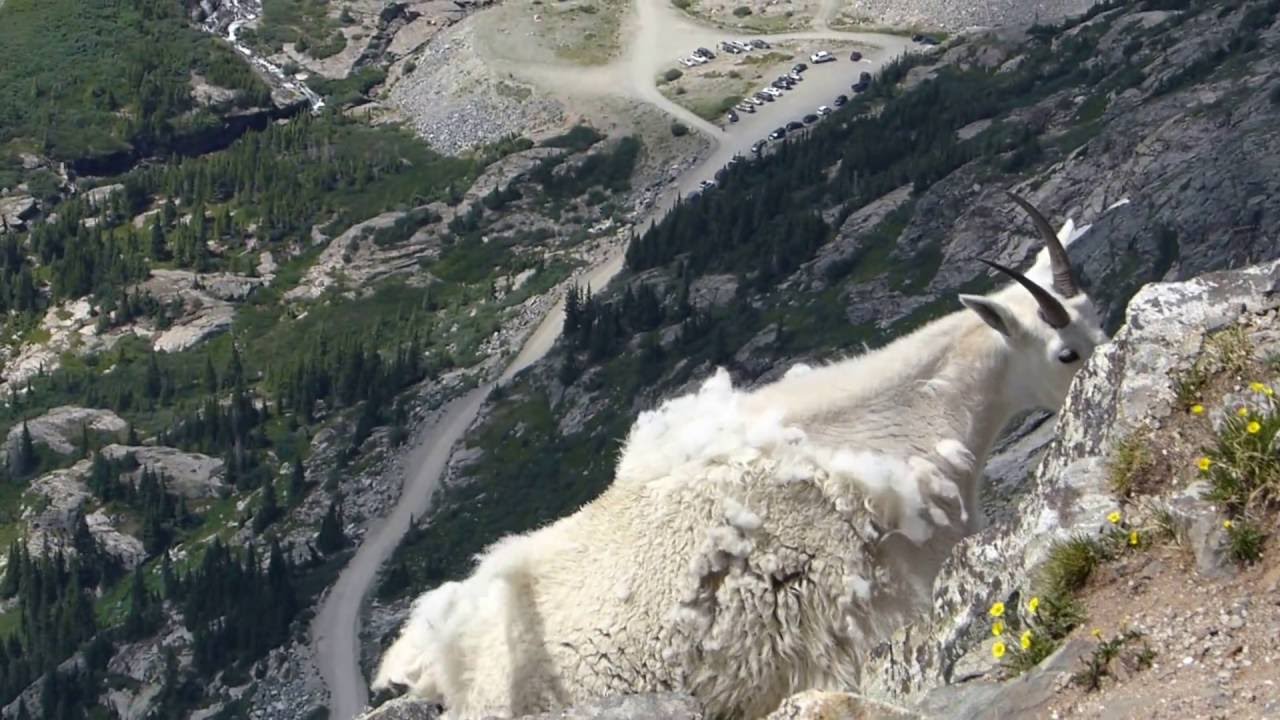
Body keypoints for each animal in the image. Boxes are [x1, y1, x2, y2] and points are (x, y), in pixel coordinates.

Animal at [373, 193, 1109, 719]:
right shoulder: (849, 623)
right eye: (1065, 352)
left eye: (1098, 320)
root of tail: (429, 664)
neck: (896, 425)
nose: (1108, 364)